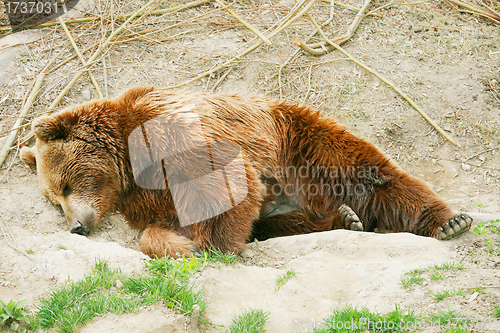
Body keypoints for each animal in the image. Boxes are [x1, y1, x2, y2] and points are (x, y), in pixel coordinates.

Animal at [20, 85, 472, 256]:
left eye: (64, 185)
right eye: (53, 199)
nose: (76, 226)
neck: (128, 170)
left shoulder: (169, 135)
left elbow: (219, 182)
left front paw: (214, 246)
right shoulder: (147, 199)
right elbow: (160, 227)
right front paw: (181, 244)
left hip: (299, 144)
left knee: (371, 175)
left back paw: (449, 221)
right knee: (285, 220)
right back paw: (346, 219)